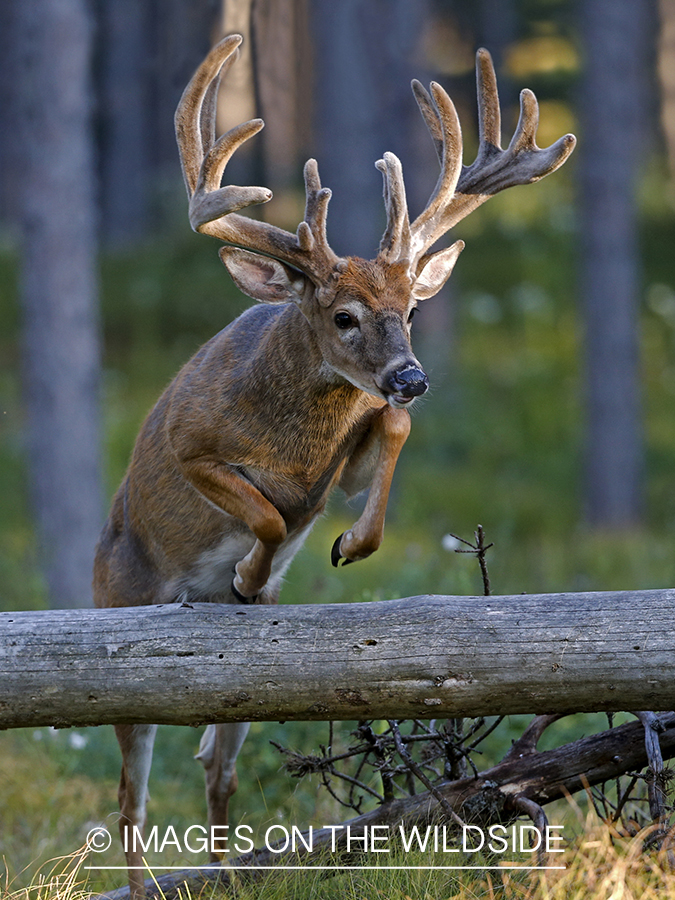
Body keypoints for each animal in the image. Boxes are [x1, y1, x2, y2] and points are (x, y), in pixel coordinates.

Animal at [91, 35, 576, 900]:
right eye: (343, 315)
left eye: (409, 309)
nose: (413, 374)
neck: (290, 434)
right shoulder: (189, 446)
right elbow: (262, 508)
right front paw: (247, 571)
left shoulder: (353, 449)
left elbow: (386, 438)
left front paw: (346, 544)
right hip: (122, 642)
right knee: (130, 799)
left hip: (230, 696)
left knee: (214, 765)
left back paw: (225, 873)